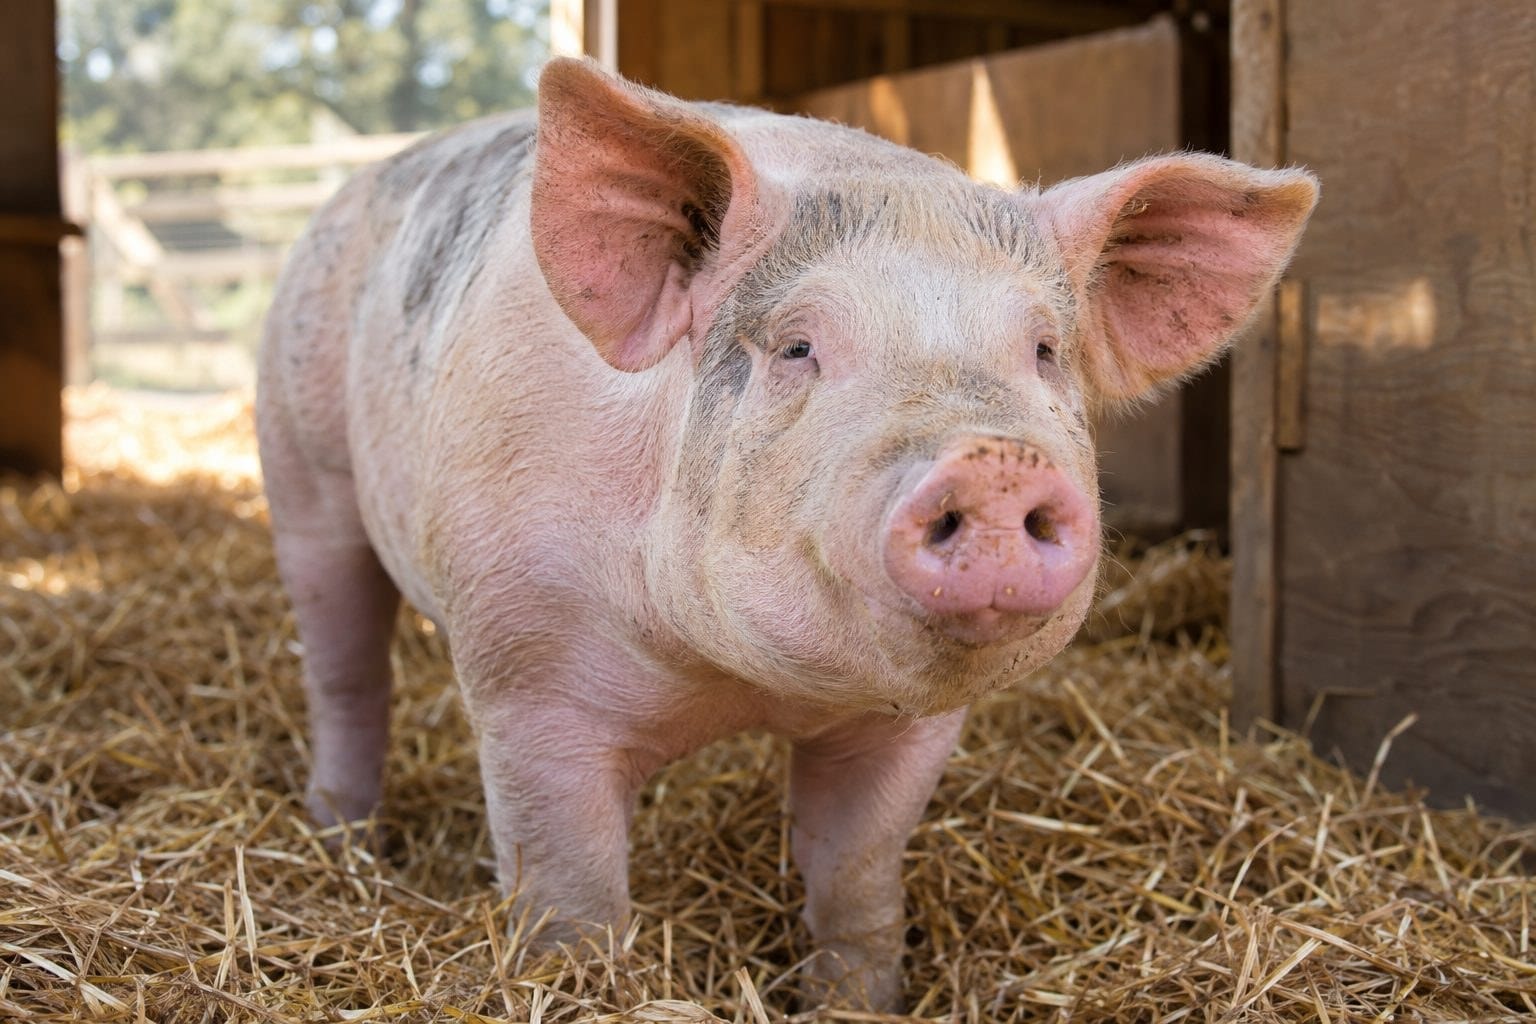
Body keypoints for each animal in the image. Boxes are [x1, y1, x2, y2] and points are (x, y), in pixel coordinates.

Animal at [256, 57, 1317, 1010]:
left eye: (1045, 351)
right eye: (799, 345)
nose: (995, 460)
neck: (738, 686)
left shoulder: (914, 726)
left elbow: (855, 874)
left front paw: (855, 999)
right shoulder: (522, 674)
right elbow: (572, 898)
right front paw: (581, 986)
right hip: (301, 468)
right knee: (346, 669)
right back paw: (343, 840)